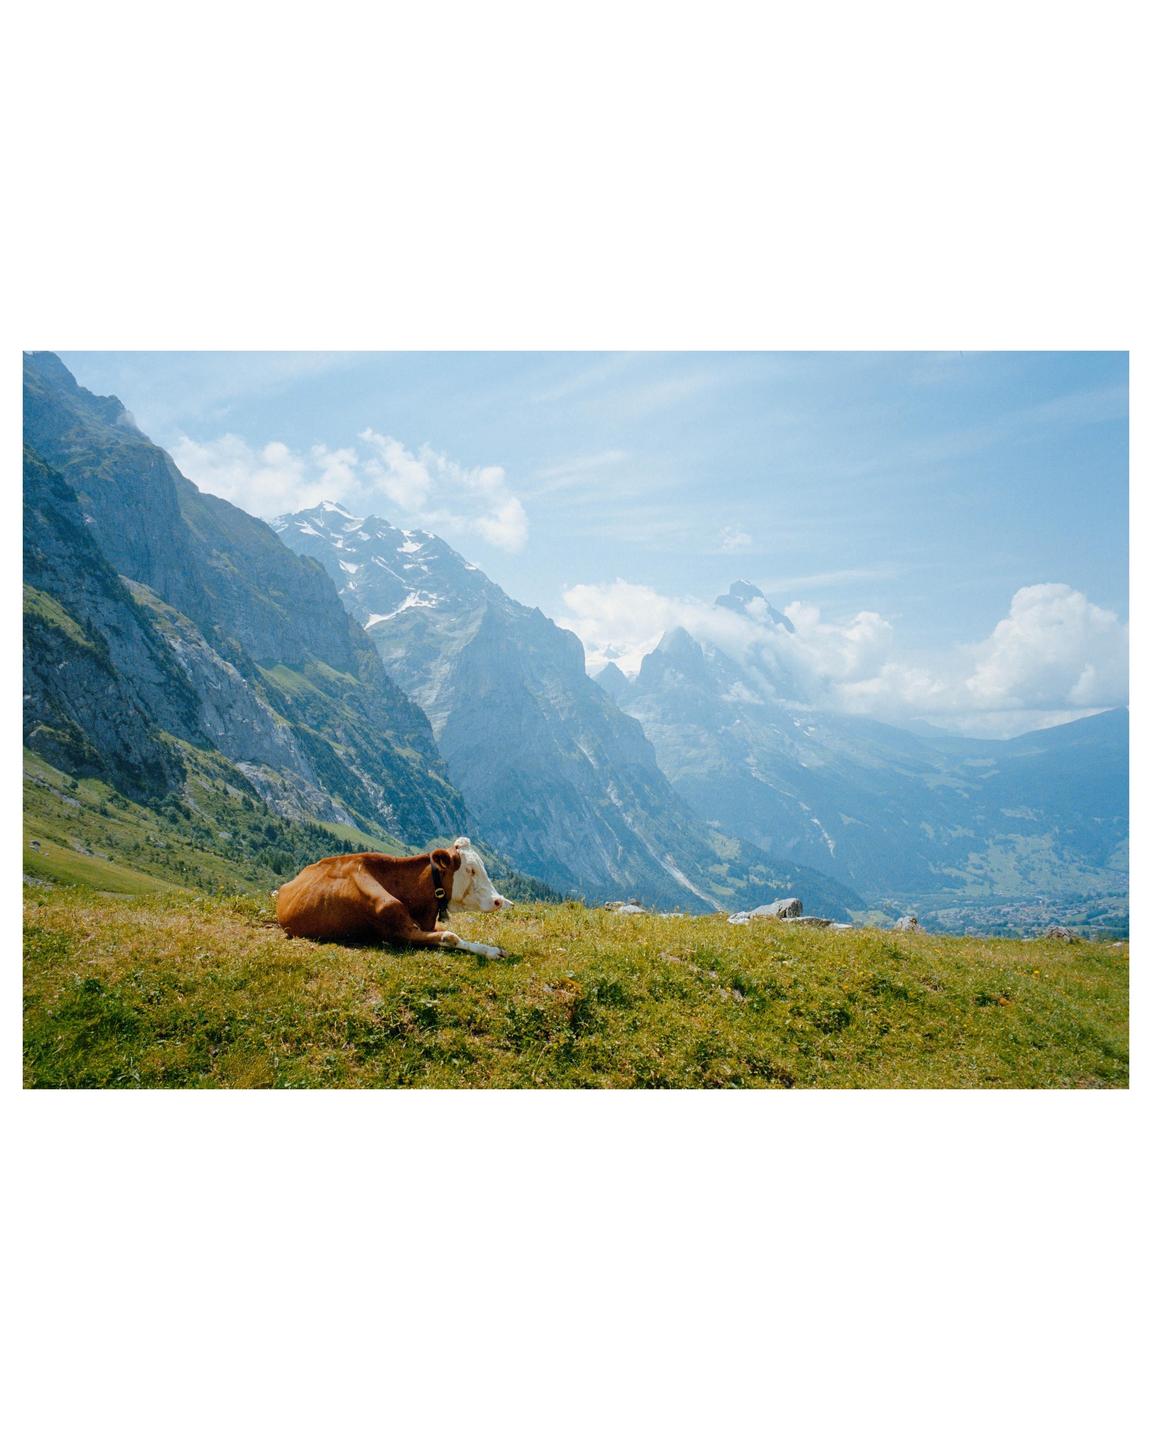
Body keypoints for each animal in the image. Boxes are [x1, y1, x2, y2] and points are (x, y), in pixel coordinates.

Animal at [275, 836, 511, 959]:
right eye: (470, 870)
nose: (499, 900)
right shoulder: (398, 932)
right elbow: (450, 936)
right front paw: (491, 952)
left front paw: (493, 949)